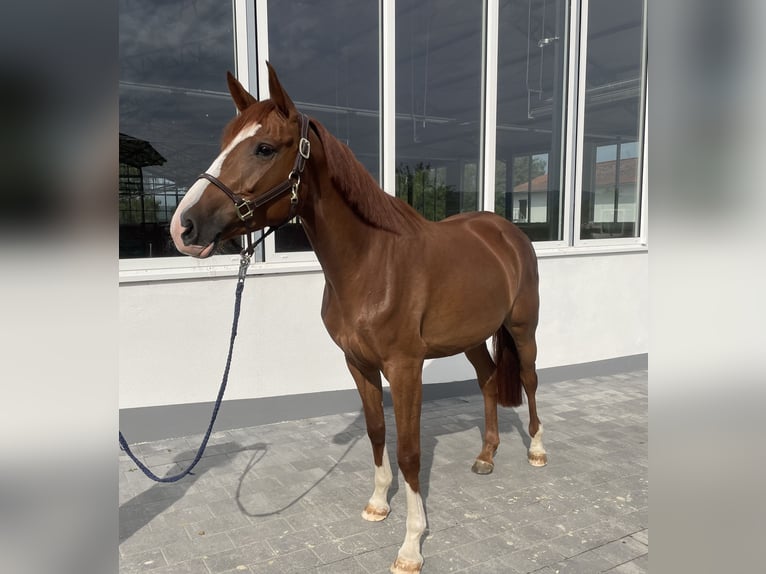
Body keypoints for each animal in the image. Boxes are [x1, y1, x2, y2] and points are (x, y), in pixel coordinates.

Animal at [170, 64, 544, 574]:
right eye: (225, 140)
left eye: (263, 147)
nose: (183, 226)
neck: (371, 263)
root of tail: (505, 231)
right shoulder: (358, 364)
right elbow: (376, 432)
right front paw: (379, 505)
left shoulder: (404, 368)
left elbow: (409, 451)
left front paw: (411, 544)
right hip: (471, 336)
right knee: (488, 380)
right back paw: (486, 456)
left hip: (523, 329)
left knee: (528, 379)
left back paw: (538, 450)